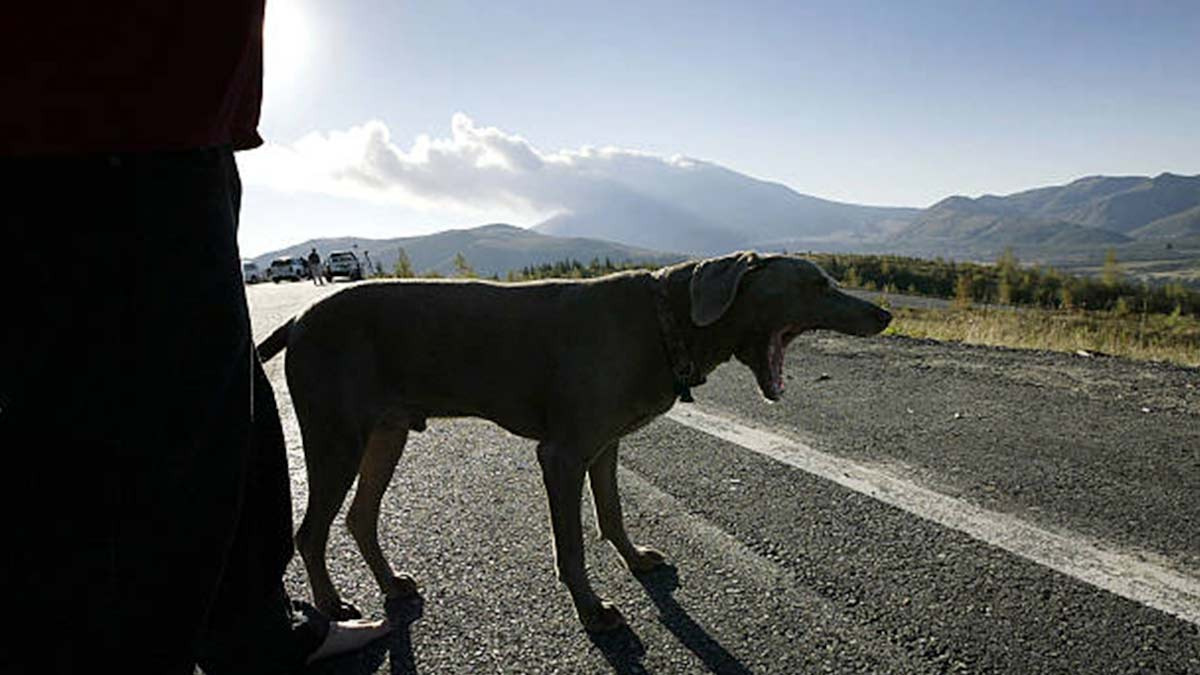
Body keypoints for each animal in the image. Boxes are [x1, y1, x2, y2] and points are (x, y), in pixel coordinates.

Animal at [260, 249, 892, 629]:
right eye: (816, 283)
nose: (884, 313)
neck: (666, 320)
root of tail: (298, 320)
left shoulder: (605, 444)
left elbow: (611, 513)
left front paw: (636, 561)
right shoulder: (561, 455)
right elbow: (572, 546)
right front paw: (591, 610)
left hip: (386, 434)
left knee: (359, 517)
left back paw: (392, 584)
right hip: (334, 437)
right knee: (310, 531)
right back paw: (332, 607)